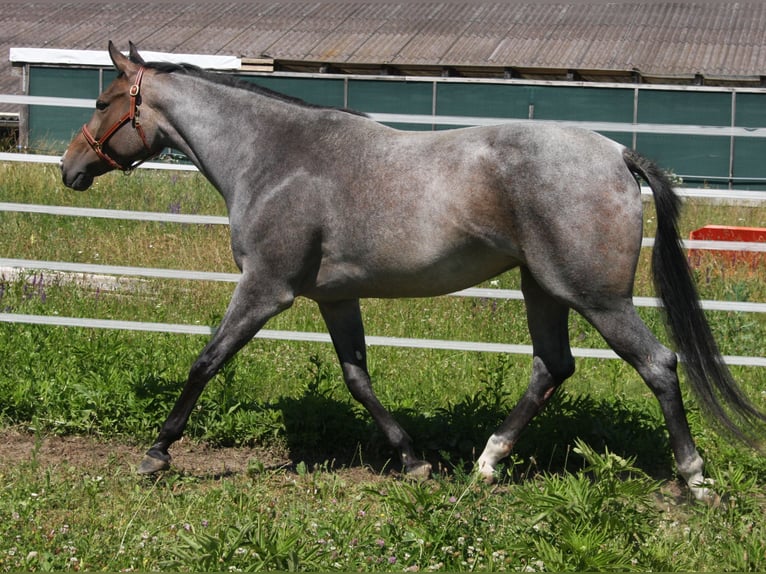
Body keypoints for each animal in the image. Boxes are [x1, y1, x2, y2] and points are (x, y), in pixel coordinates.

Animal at [61, 42, 765, 501]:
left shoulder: (266, 290)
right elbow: (358, 379)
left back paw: (694, 478)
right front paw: (413, 461)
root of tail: (618, 154)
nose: (70, 168)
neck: (276, 157)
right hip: (542, 287)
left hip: (596, 297)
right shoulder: (334, 299)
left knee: (658, 365)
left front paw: (157, 453)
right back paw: (486, 464)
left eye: (101, 100)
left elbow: (206, 361)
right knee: (551, 367)